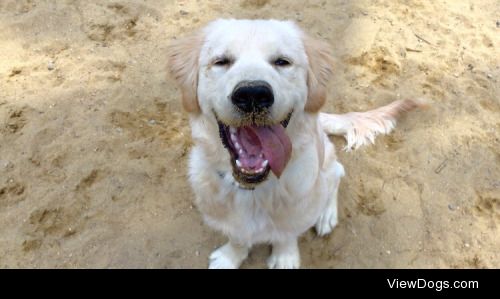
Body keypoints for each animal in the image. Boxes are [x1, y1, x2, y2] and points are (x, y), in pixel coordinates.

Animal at [167, 19, 422, 270]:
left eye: (282, 62)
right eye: (221, 61)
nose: (252, 95)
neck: (255, 190)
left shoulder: (298, 209)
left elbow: (286, 234)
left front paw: (285, 257)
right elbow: (238, 237)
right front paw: (230, 258)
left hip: (326, 166)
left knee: (337, 175)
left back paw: (326, 216)